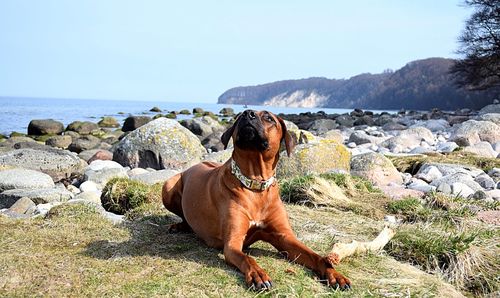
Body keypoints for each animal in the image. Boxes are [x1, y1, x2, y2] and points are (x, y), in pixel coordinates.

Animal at [162, 109, 350, 288]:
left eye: (269, 118)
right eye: (239, 118)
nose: (248, 113)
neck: (255, 186)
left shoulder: (284, 237)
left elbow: (315, 256)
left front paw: (334, 274)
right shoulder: (232, 244)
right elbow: (247, 258)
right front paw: (258, 275)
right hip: (167, 187)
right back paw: (180, 226)